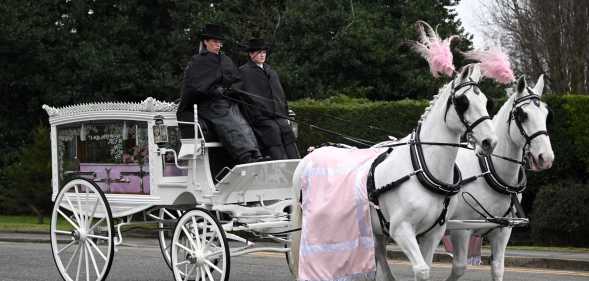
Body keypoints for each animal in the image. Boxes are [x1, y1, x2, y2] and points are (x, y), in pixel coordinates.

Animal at [292, 63, 498, 280]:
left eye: (486, 102)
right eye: (462, 102)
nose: (489, 142)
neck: (421, 169)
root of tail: (310, 155)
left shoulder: (433, 233)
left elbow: (425, 267)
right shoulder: (401, 229)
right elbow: (422, 270)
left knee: (379, 255)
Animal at [444, 74, 552, 280]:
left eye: (546, 114)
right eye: (523, 115)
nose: (546, 158)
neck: (488, 170)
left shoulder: (503, 230)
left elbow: (497, 268)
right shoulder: (461, 228)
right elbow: (458, 267)